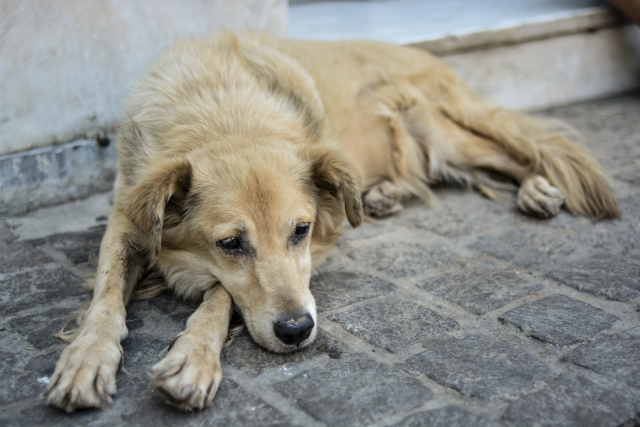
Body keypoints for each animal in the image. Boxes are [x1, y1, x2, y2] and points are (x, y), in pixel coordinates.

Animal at [42, 31, 616, 412]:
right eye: (230, 244)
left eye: (299, 231)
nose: (297, 331)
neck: (220, 111)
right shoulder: (126, 219)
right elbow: (107, 298)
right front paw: (87, 358)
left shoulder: (320, 243)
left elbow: (221, 296)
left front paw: (193, 357)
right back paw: (383, 194)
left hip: (445, 128)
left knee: (522, 152)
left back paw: (539, 187)